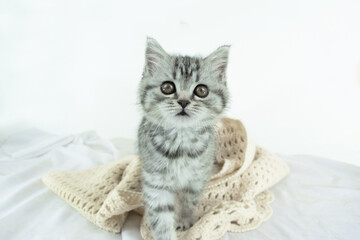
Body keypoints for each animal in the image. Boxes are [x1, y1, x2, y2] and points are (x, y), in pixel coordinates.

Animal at [138, 38, 231, 240]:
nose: (183, 102)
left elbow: (189, 202)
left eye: (202, 90)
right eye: (167, 87)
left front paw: (184, 220)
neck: (181, 141)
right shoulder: (156, 185)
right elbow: (162, 220)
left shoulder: (196, 180)